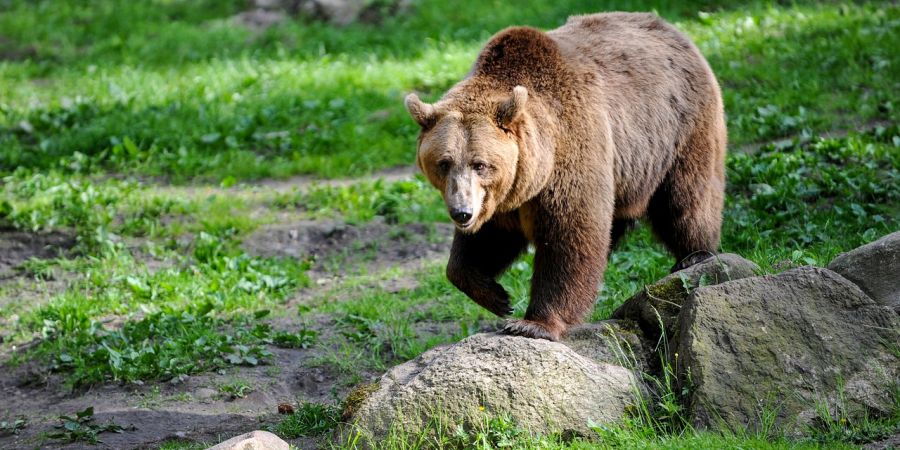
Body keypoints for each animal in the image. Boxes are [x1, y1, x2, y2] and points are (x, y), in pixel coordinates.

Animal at [404, 11, 728, 342]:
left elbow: (570, 236)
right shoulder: (501, 198)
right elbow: (484, 243)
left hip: (679, 130)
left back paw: (695, 255)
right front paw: (496, 296)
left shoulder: (570, 152)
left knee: (685, 199)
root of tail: (673, 30)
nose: (462, 212)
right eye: (444, 163)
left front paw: (532, 323)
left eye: (480, 164)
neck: (535, 170)